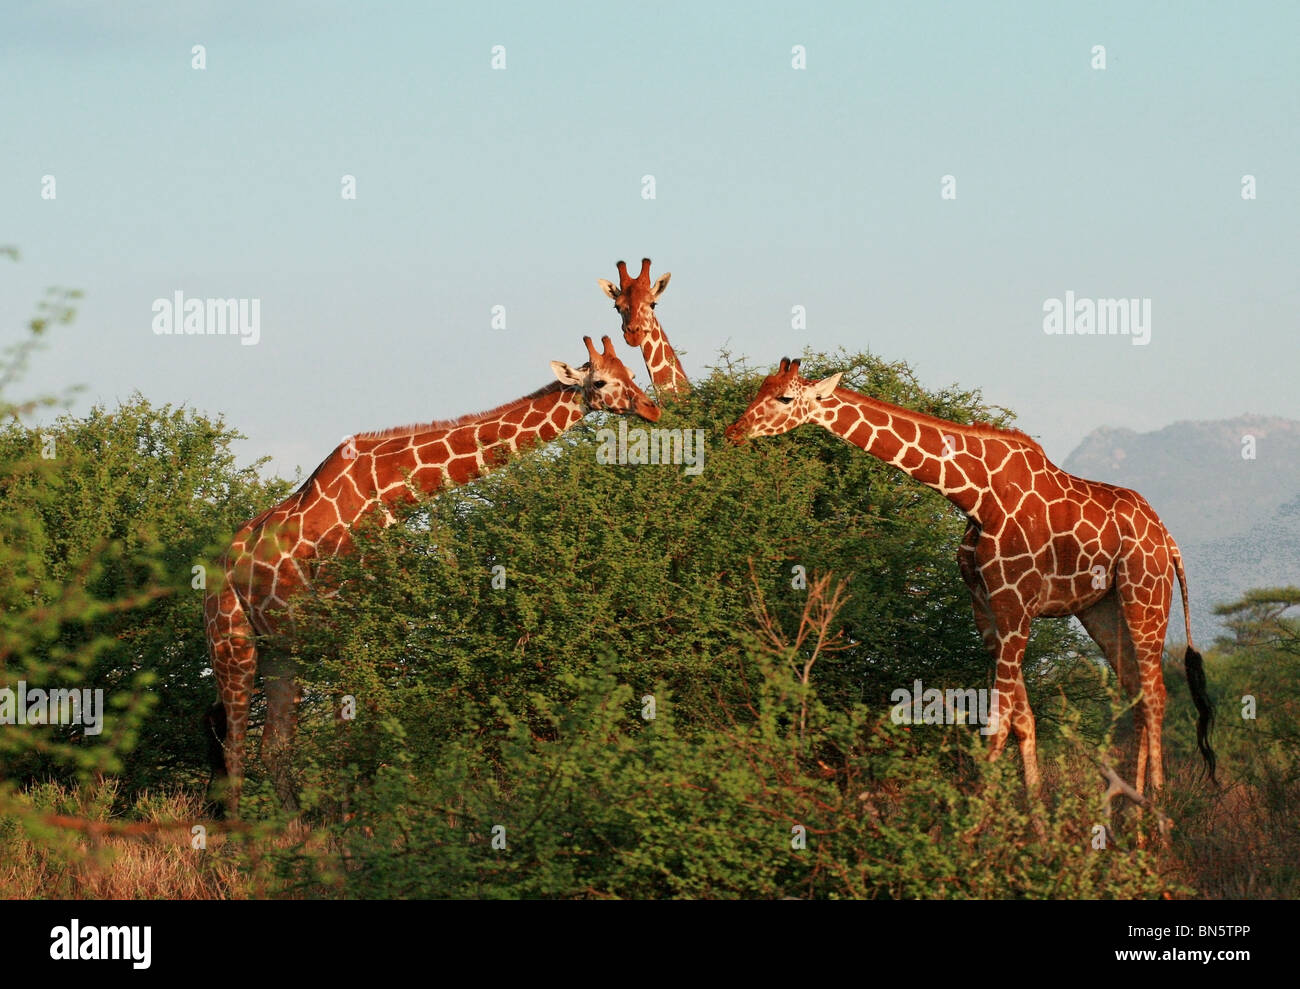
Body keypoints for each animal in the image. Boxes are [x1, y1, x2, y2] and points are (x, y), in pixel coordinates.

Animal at [204, 336, 660, 817]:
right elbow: (351, 732)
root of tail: (218, 566)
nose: (652, 409)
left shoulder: (387, 623)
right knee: (235, 742)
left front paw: (376, 820)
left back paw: (292, 827)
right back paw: (241, 833)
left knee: (274, 745)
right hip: (231, 641)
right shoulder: (347, 626)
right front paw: (357, 823)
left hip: (282, 650)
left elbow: (380, 724)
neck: (388, 494)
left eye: (631, 371)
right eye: (602, 380)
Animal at [725, 358, 1216, 797]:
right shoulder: (987, 607)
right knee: (1136, 695)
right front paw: (1033, 825)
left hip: (1145, 596)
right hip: (1102, 609)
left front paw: (977, 830)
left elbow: (997, 723)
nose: (734, 431)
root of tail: (1168, 539)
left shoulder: (1016, 603)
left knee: (1156, 696)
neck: (977, 495)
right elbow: (1022, 721)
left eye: (785, 398)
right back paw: (1134, 814)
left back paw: (1156, 820)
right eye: (759, 388)